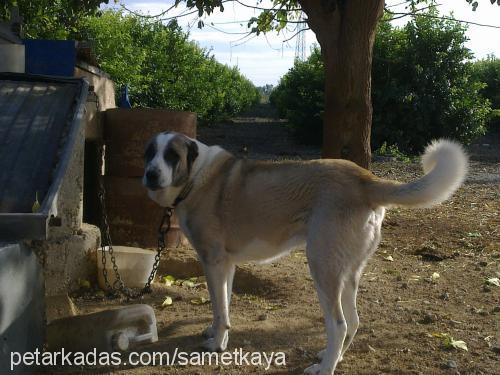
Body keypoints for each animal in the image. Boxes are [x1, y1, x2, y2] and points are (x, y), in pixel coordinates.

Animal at [143, 133, 466, 375]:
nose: (150, 174)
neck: (197, 177)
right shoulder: (227, 265)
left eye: (171, 155)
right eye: (149, 153)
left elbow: (219, 308)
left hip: (322, 268)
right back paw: (333, 358)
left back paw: (324, 369)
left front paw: (217, 343)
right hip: (346, 274)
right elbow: (222, 305)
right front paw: (215, 332)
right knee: (354, 321)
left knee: (339, 324)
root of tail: (365, 179)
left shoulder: (213, 262)